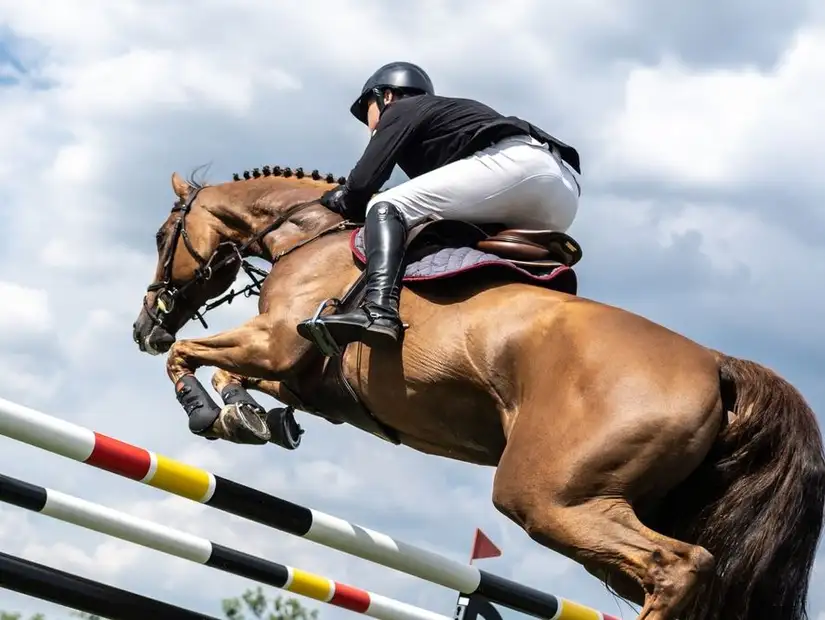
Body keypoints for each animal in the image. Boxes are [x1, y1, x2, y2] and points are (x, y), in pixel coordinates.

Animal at [132, 165, 820, 620]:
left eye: (163, 237)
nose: (145, 326)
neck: (307, 235)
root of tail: (720, 365)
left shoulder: (275, 342)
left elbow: (188, 357)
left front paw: (206, 413)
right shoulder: (300, 374)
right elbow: (236, 376)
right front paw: (249, 417)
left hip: (549, 497)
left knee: (675, 568)